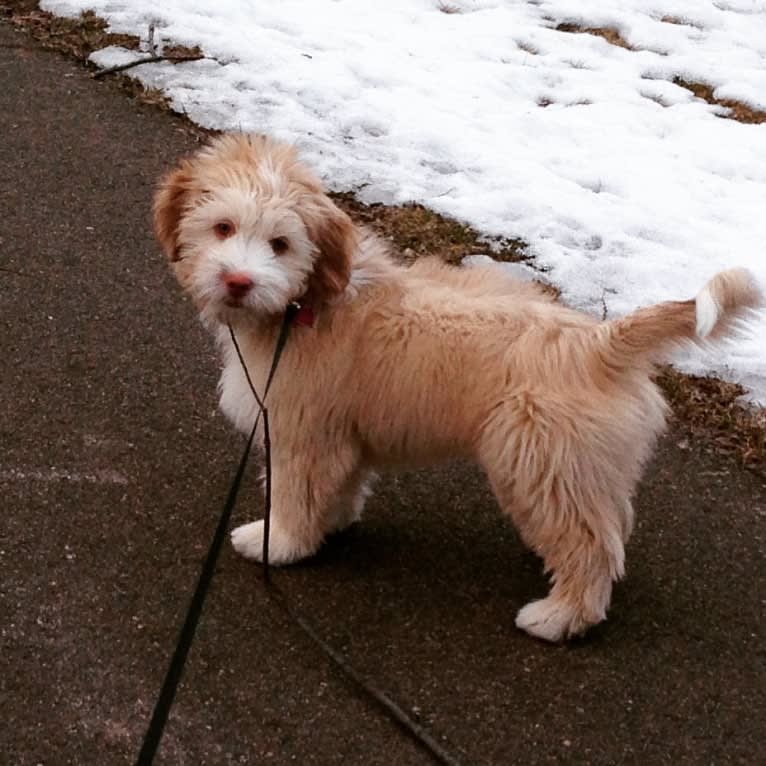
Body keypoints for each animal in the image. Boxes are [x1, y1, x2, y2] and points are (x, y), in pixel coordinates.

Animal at [153, 135, 764, 644]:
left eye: (279, 244)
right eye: (223, 228)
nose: (238, 282)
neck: (304, 306)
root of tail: (597, 340)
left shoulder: (303, 433)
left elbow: (294, 495)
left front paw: (277, 543)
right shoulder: (340, 434)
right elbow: (341, 485)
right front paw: (332, 525)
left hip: (540, 460)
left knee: (590, 547)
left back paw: (558, 617)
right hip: (580, 465)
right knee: (607, 527)